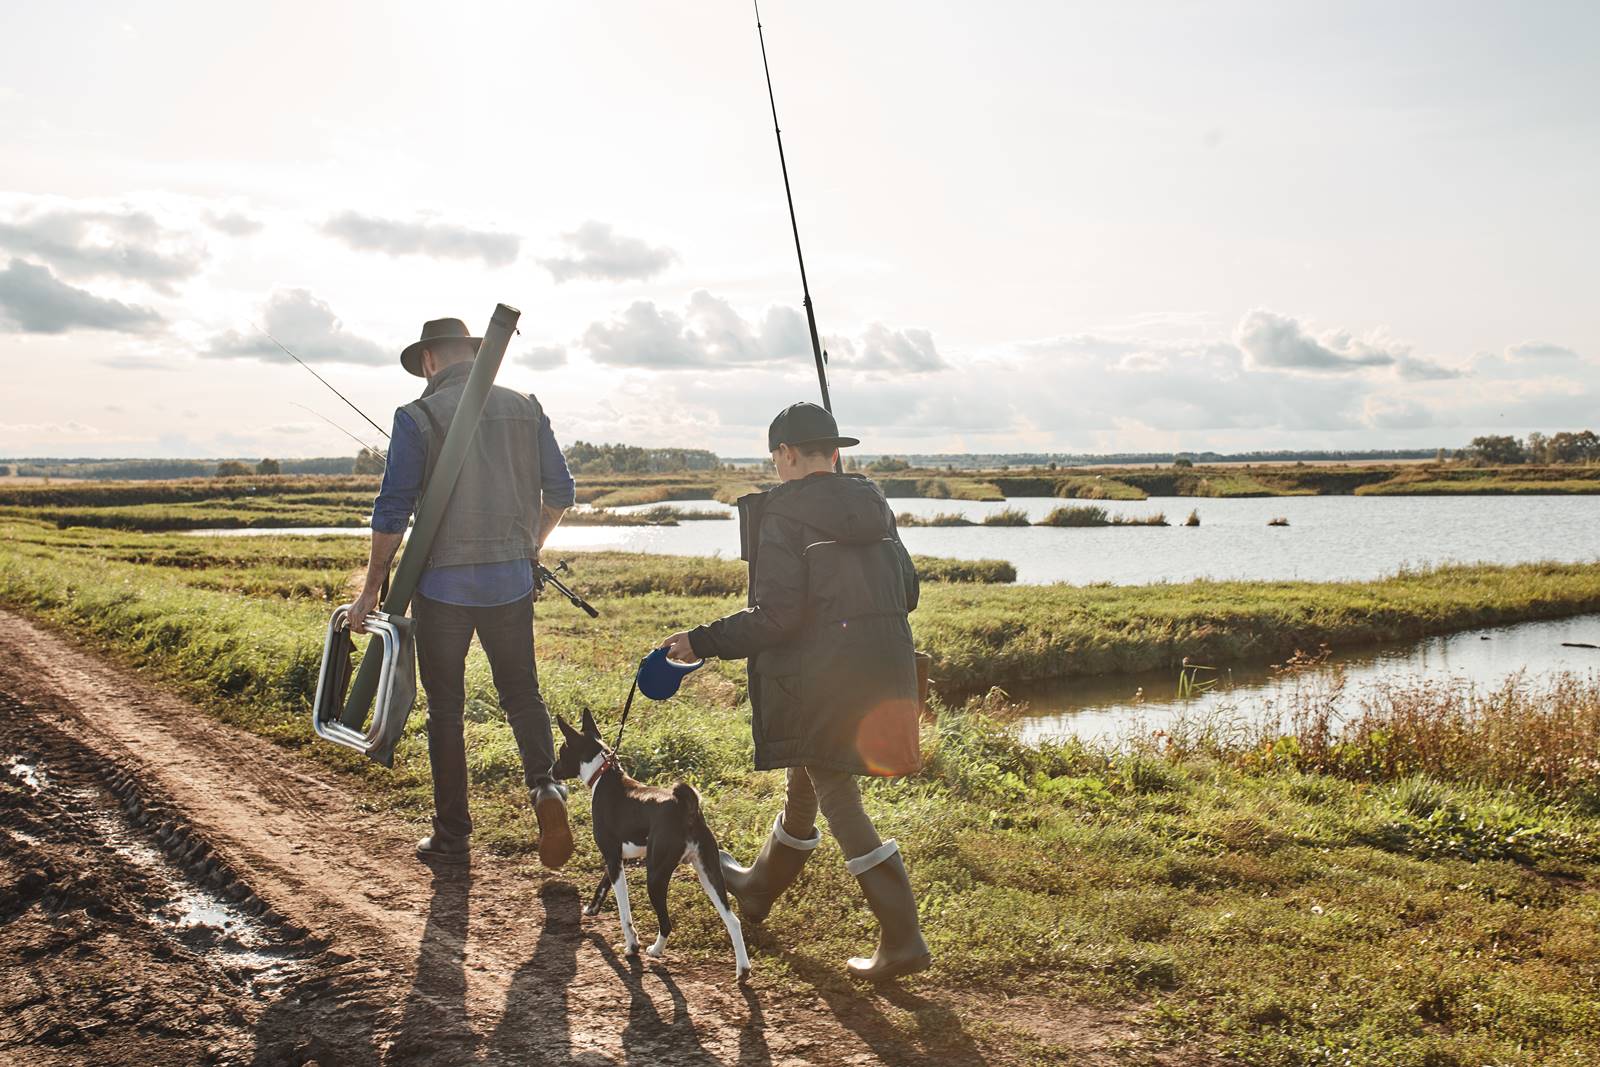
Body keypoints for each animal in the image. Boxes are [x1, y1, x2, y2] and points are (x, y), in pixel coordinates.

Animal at [550, 713, 748, 979]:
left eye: (561, 752)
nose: (551, 770)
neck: (604, 774)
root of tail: (685, 808)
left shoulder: (613, 859)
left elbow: (624, 911)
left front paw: (631, 945)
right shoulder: (616, 858)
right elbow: (602, 885)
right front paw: (591, 909)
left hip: (655, 876)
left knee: (666, 922)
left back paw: (655, 950)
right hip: (710, 874)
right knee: (733, 920)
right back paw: (743, 970)